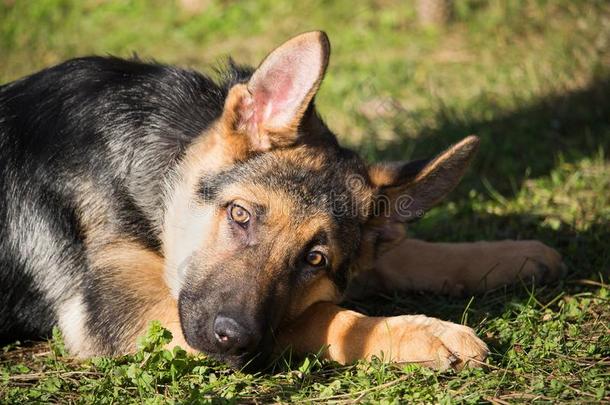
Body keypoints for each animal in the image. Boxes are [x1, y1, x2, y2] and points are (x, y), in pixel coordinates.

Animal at [0, 31, 564, 370]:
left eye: (314, 259)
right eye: (240, 215)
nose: (233, 339)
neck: (155, 178)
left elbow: (404, 251)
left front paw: (510, 254)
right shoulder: (129, 317)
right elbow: (321, 316)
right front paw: (424, 333)